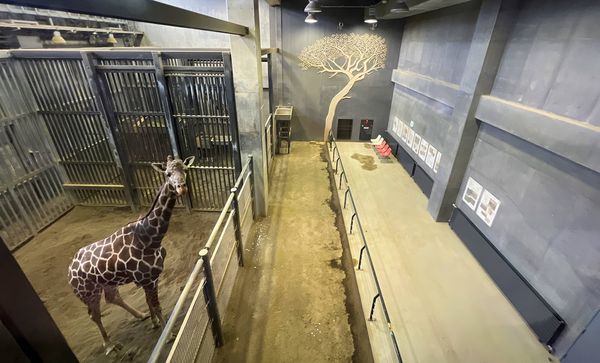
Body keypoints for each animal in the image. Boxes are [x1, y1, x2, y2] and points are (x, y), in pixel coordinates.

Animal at [67, 154, 195, 356]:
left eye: (185, 170)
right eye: (167, 173)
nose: (181, 187)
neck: (149, 237)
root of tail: (69, 270)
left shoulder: (150, 278)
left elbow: (149, 302)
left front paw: (154, 322)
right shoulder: (147, 279)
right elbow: (156, 304)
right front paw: (169, 334)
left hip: (108, 283)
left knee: (113, 298)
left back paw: (140, 315)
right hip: (88, 292)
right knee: (94, 315)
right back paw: (110, 345)